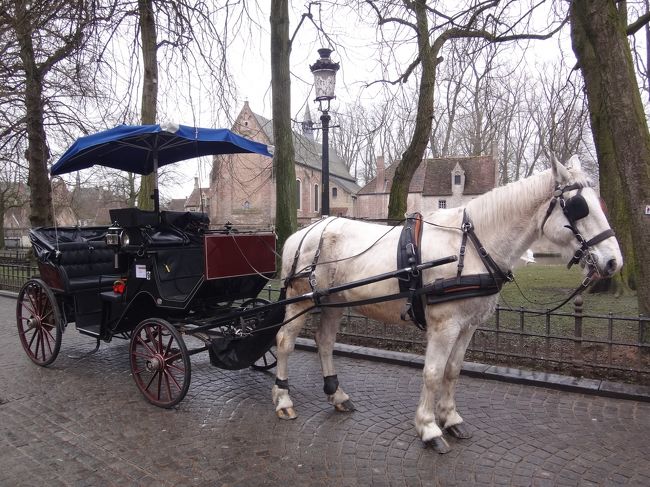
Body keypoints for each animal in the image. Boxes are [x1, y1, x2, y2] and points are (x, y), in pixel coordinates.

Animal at [272, 155, 622, 453]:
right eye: (579, 207)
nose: (613, 262)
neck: (471, 246)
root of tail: (302, 232)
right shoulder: (444, 326)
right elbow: (433, 372)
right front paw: (429, 428)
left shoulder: (467, 326)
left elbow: (453, 371)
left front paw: (451, 419)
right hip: (299, 302)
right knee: (285, 341)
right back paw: (283, 398)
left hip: (332, 302)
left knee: (325, 341)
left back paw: (337, 394)